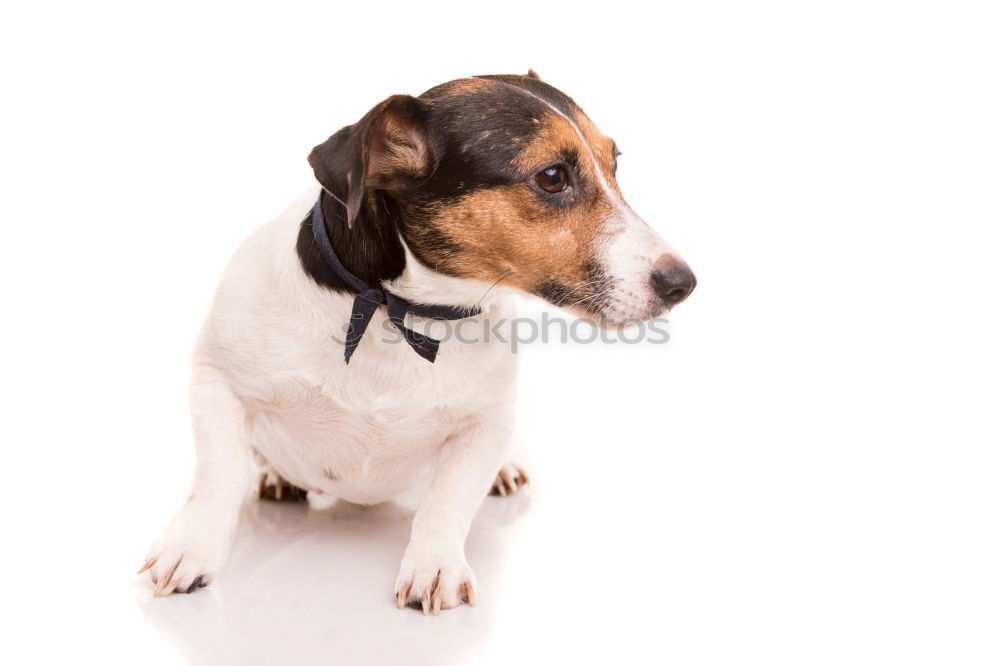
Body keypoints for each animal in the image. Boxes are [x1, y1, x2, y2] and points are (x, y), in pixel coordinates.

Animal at [139, 71, 696, 612]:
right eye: (553, 176)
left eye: (615, 164)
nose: (684, 284)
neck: (403, 310)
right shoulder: (216, 381)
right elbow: (218, 476)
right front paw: (189, 549)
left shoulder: (486, 424)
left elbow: (447, 501)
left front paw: (434, 567)